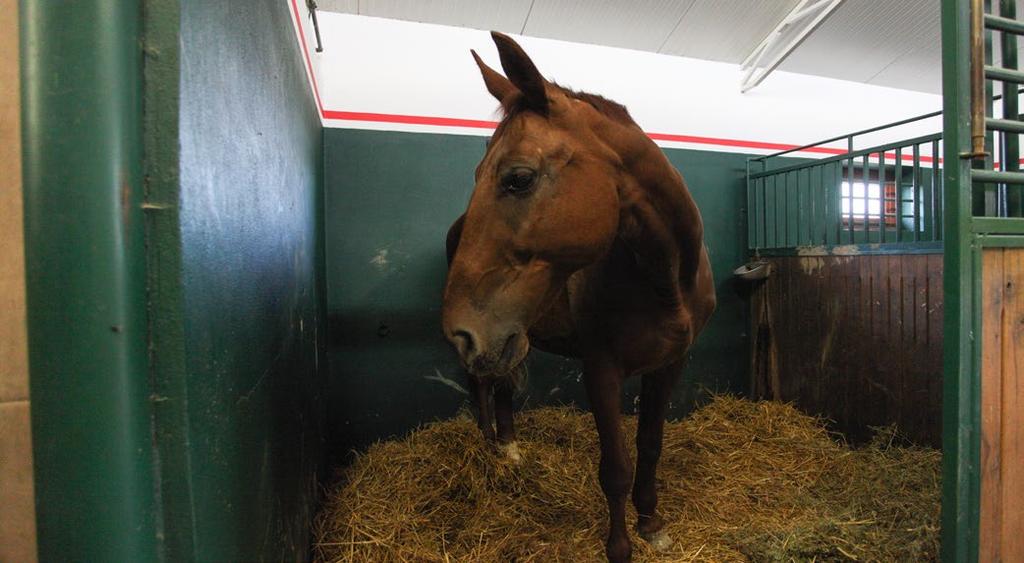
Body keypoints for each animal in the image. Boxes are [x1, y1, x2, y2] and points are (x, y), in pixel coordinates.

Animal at [444, 33, 716, 560]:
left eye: (518, 178)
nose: (460, 330)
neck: (663, 281)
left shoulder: (671, 365)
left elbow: (650, 446)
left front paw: (651, 523)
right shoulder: (600, 369)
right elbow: (615, 468)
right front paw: (619, 547)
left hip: (511, 340)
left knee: (500, 385)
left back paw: (509, 447)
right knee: (481, 386)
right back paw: (488, 445)